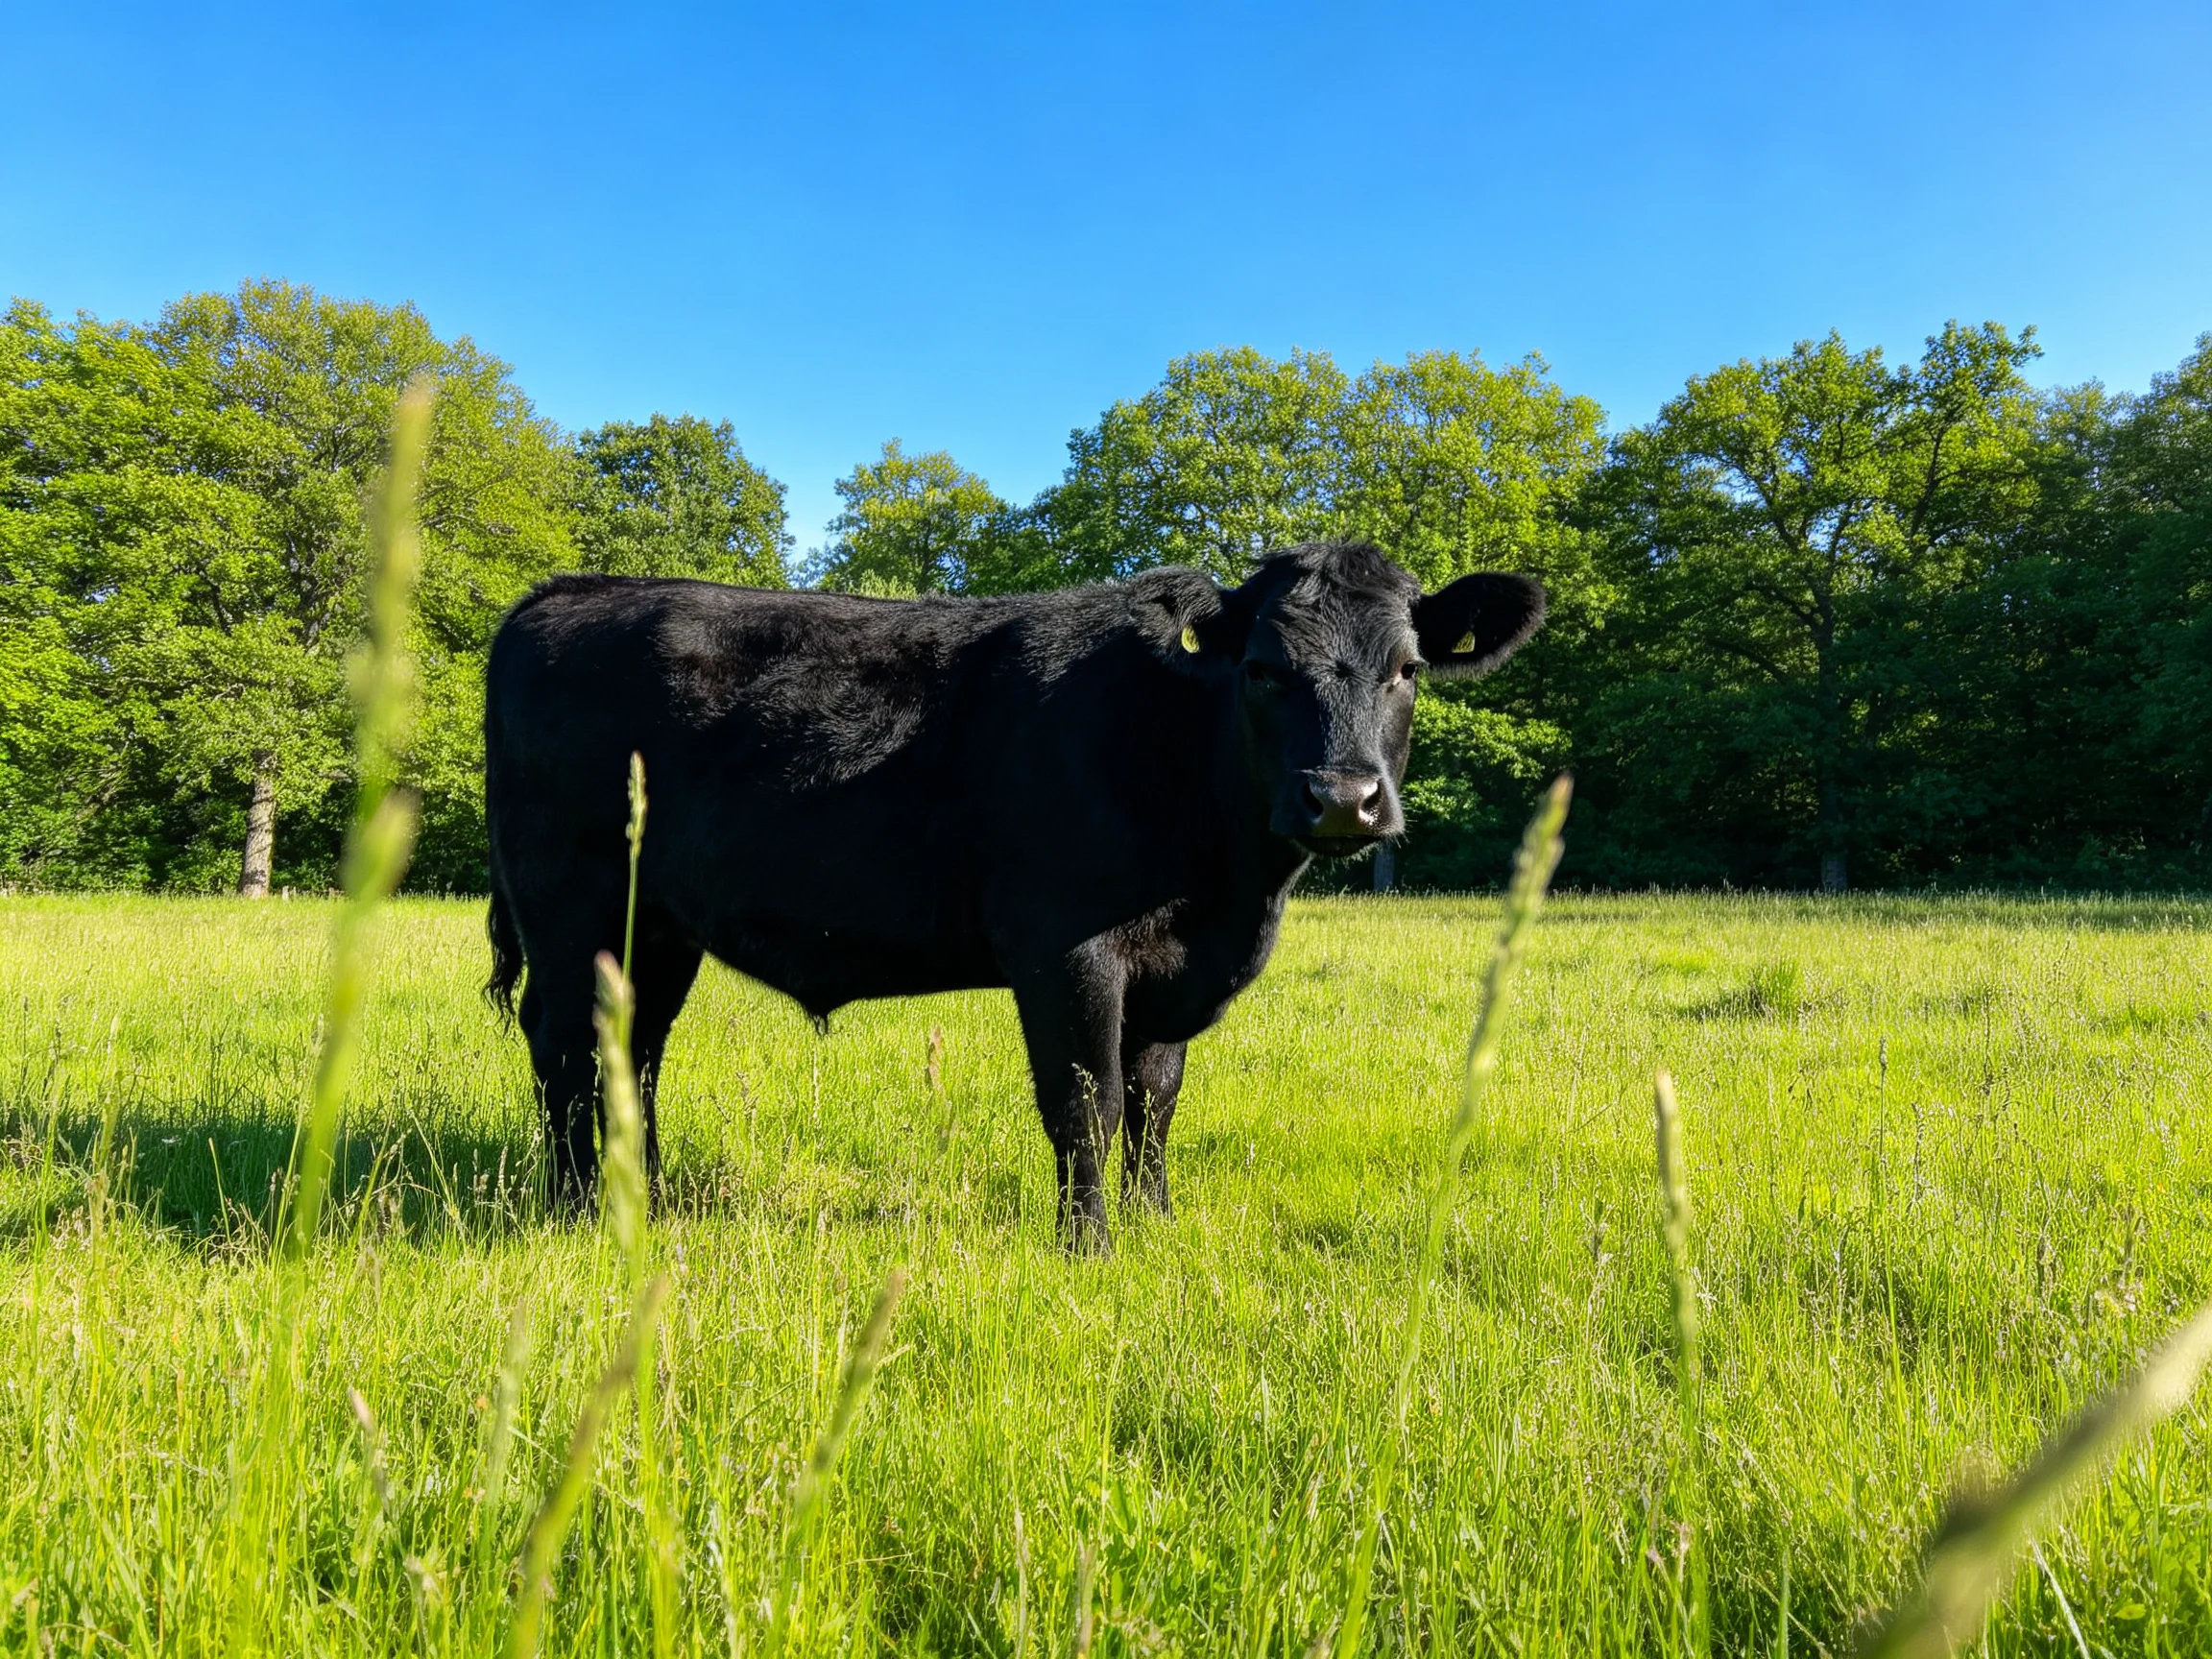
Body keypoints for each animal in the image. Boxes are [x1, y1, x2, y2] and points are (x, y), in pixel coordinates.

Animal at [483, 540, 1544, 1251]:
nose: (1344, 797)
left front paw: (1155, 1226)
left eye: (1407, 669)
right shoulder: (1065, 945)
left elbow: (1156, 1100)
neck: (1231, 890)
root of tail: (569, 590)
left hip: (656, 927)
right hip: (573, 904)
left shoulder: (1172, 967)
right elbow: (1088, 1102)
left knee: (633, 1049)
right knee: (565, 1044)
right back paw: (578, 1214)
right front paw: (1090, 1247)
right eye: (1261, 669)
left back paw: (648, 1202)